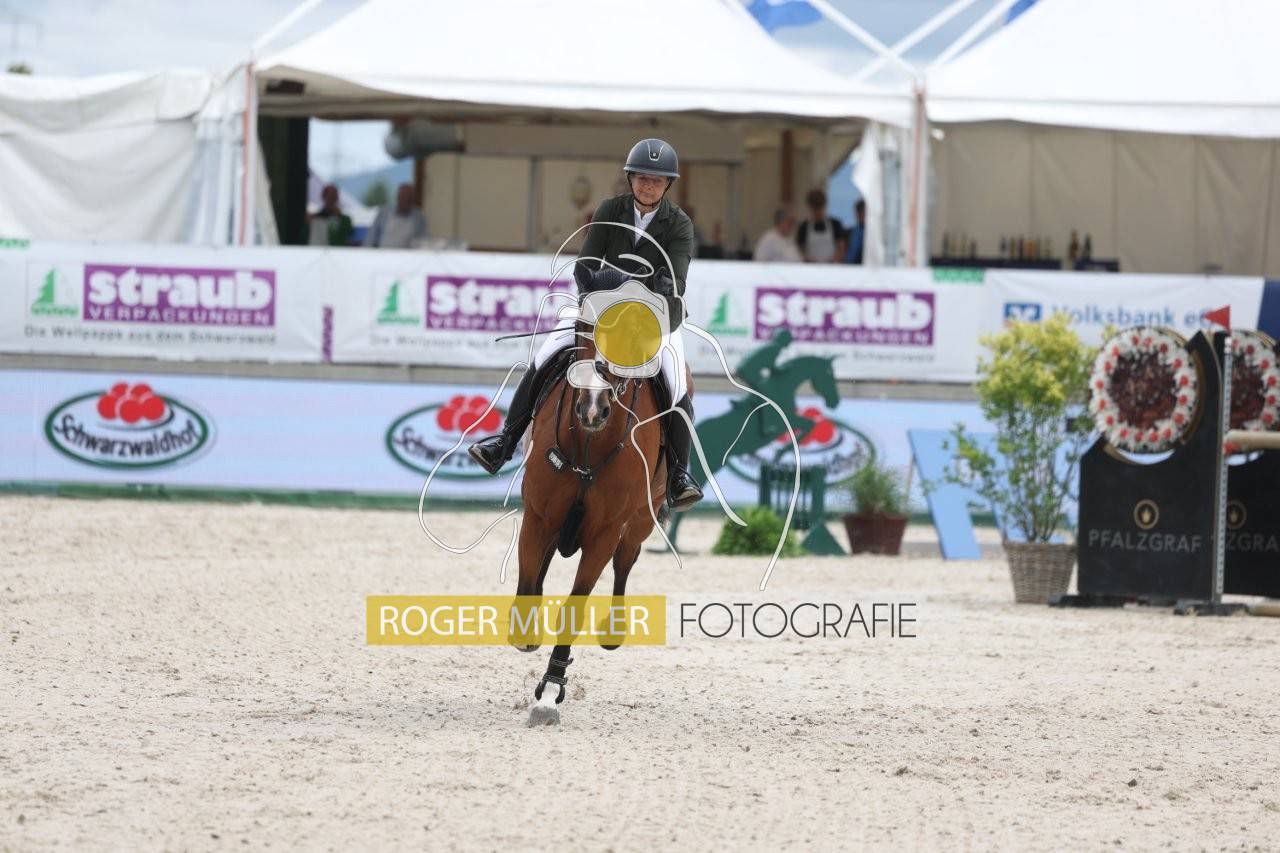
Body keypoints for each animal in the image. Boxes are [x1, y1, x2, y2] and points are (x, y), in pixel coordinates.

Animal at [513, 317, 677, 726]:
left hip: (641, 519)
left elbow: (575, 606)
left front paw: (550, 690)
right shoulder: (539, 517)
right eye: (583, 336)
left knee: (625, 561)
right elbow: (528, 579)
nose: (591, 410)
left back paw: (614, 631)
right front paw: (525, 630)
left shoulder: (606, 532)